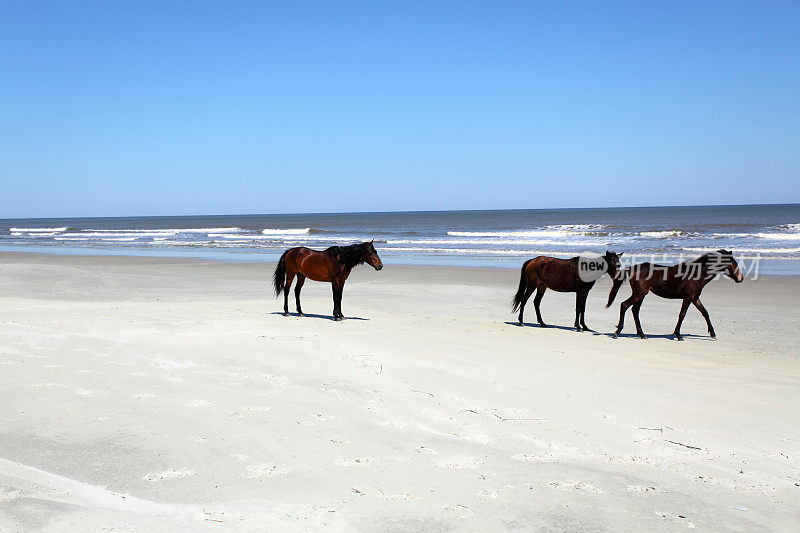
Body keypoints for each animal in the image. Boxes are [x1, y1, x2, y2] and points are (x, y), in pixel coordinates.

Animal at [608, 249, 748, 340]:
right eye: (733, 263)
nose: (741, 278)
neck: (696, 274)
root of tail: (631, 268)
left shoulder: (695, 298)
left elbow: (705, 313)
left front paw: (712, 333)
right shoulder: (688, 298)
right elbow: (682, 315)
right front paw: (678, 335)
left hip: (641, 295)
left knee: (635, 311)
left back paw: (642, 334)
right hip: (639, 294)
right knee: (624, 305)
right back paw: (618, 332)